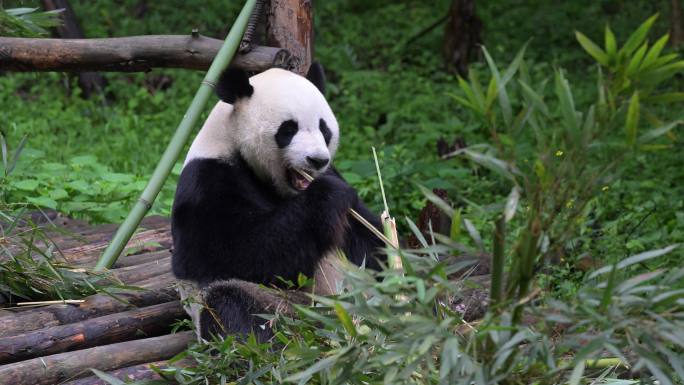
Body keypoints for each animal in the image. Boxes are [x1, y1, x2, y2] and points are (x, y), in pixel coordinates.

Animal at [171, 63, 384, 340]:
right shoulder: (208, 181)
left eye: (324, 129)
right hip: (286, 307)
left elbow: (369, 238)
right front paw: (329, 194)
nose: (317, 160)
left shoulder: (334, 174)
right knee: (232, 303)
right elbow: (234, 252)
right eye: (288, 129)